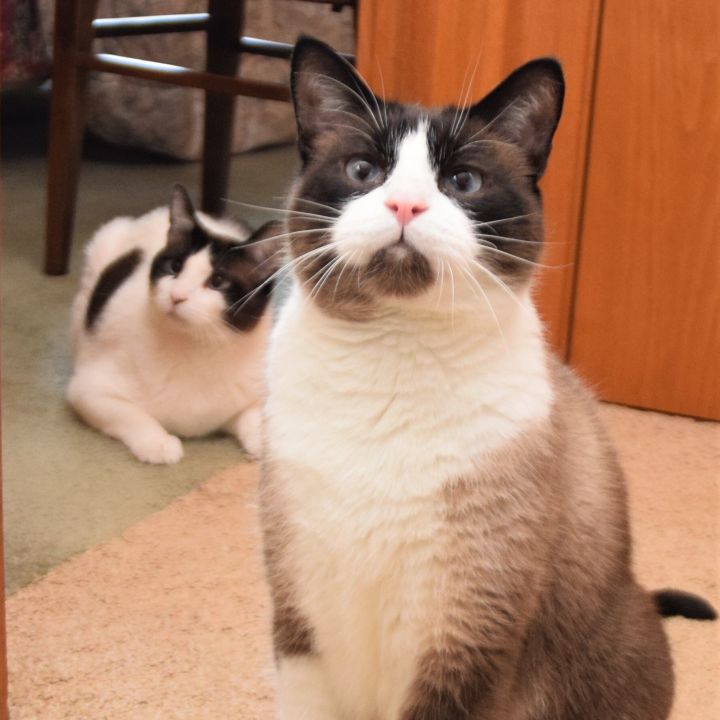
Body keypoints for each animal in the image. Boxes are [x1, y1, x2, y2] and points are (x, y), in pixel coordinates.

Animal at [67, 183, 282, 464]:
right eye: (175, 266)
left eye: (217, 281)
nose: (176, 296)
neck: (198, 349)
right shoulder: (90, 390)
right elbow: (132, 415)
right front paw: (157, 443)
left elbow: (255, 416)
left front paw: (262, 444)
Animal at [258, 39, 716, 720]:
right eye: (364, 172)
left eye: (462, 183)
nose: (405, 206)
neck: (394, 358)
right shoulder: (299, 622)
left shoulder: (468, 639)